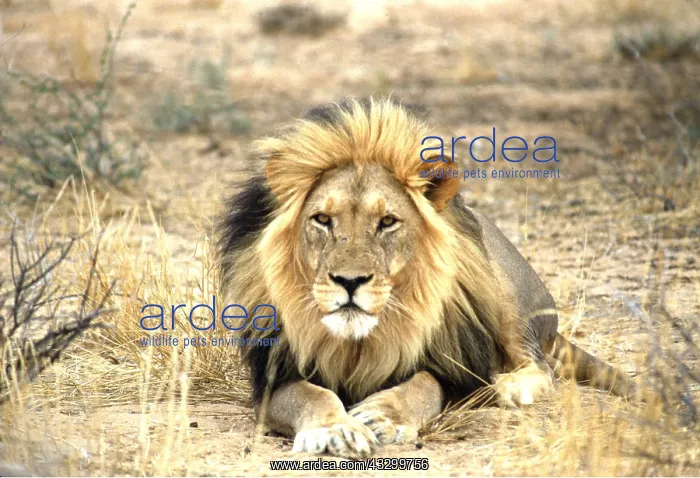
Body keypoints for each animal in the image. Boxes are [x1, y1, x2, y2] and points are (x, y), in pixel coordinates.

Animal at [217, 98, 636, 458]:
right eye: (322, 219)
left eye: (387, 222)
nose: (349, 282)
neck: (360, 344)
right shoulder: (273, 377)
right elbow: (312, 395)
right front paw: (336, 429)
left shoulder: (449, 369)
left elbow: (420, 387)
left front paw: (380, 416)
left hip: (502, 295)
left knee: (539, 365)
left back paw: (508, 387)